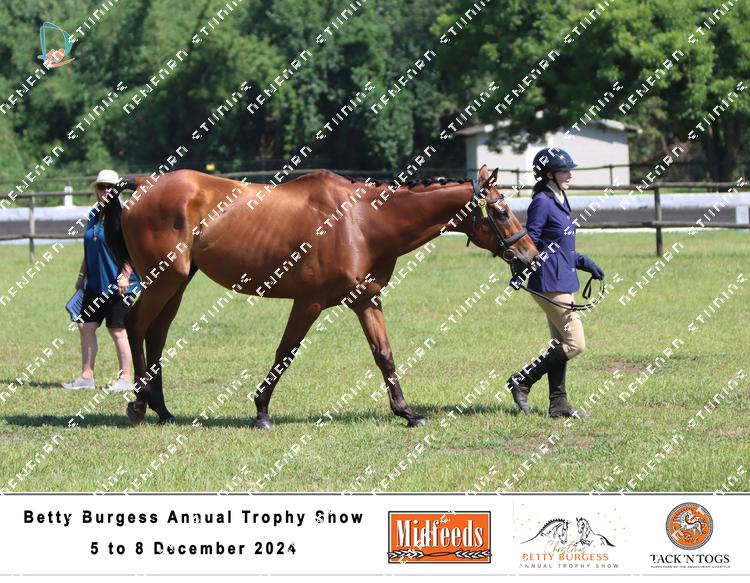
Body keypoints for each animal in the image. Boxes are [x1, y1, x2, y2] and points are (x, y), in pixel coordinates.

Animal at [102, 165, 539, 428]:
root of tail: (144, 184)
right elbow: (285, 353)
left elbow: (384, 354)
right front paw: (261, 411)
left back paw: (161, 409)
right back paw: (139, 405)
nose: (529, 256)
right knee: (137, 325)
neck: (362, 222)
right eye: (501, 212)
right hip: (164, 279)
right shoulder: (309, 303)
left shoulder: (366, 300)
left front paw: (407, 412)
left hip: (176, 282)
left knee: (156, 334)